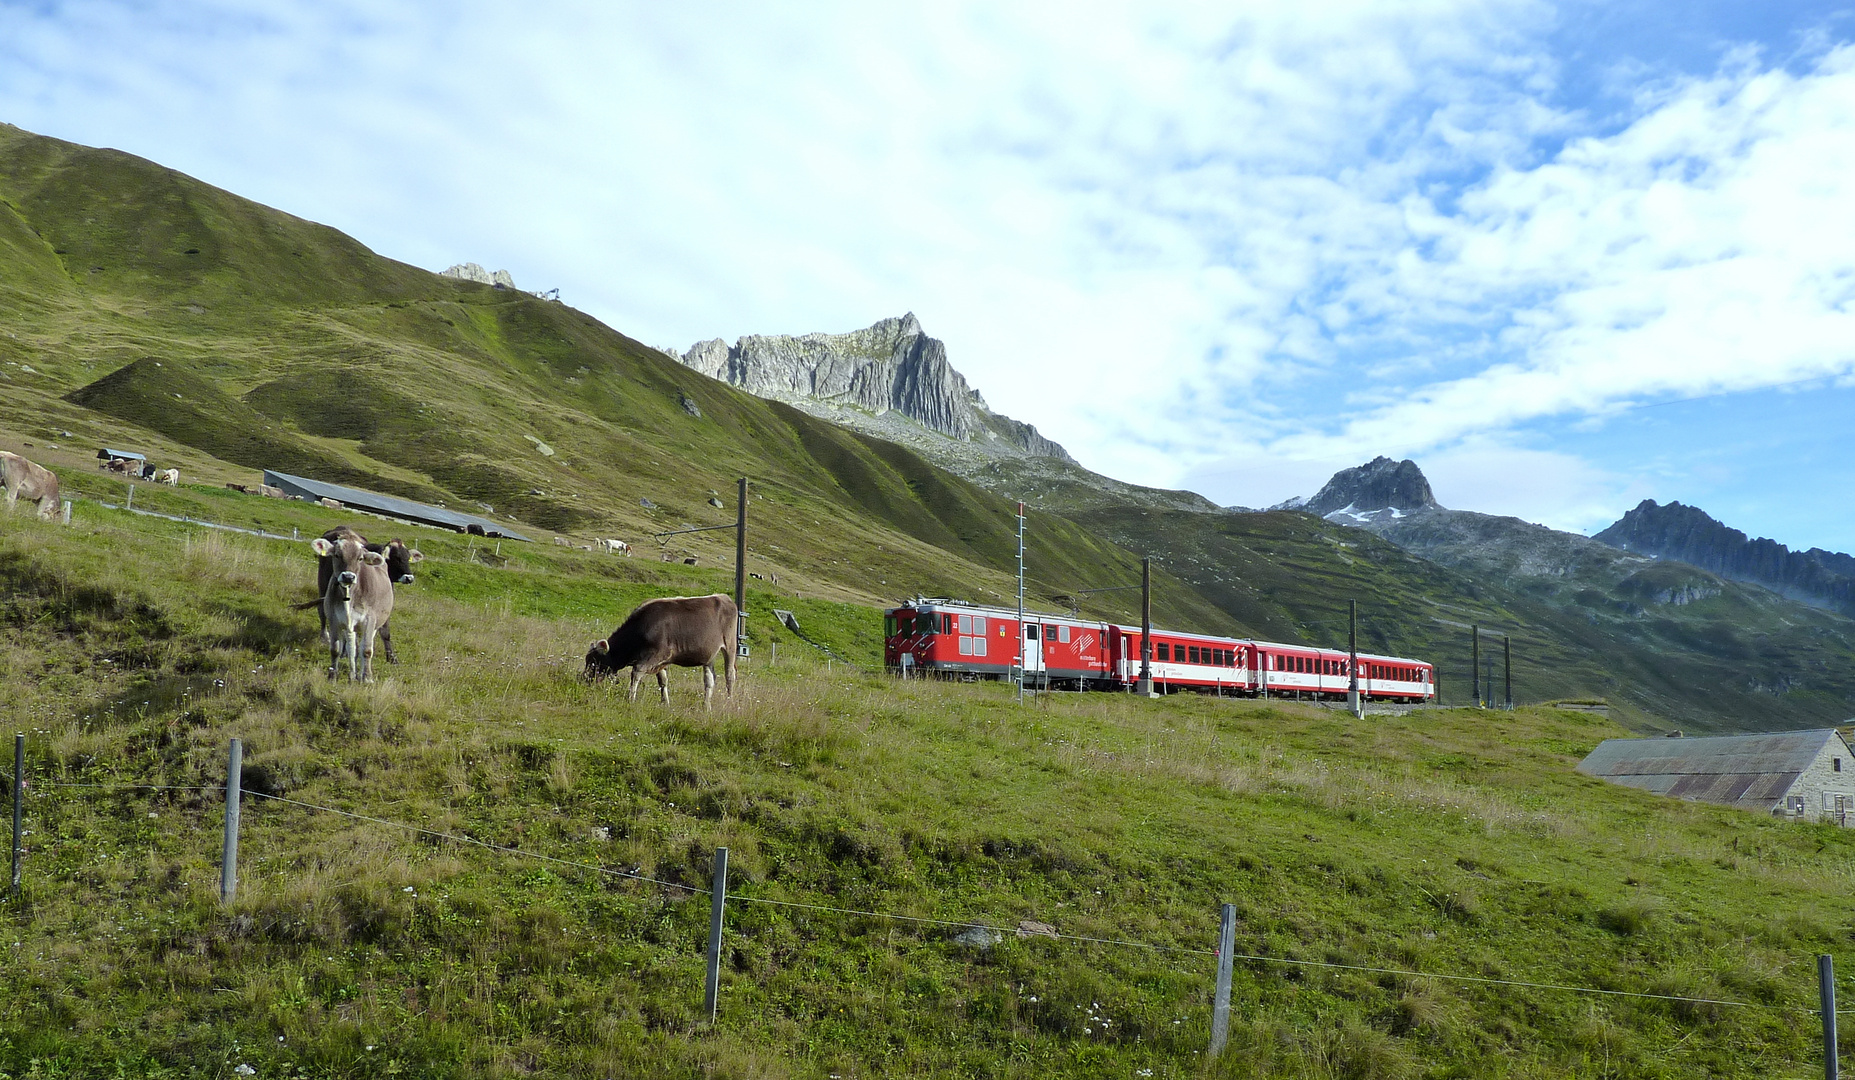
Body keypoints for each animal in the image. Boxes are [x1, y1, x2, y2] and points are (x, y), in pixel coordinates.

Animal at [307, 534, 395, 686]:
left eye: (360, 558)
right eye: (337, 555)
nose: (348, 576)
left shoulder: (369, 620)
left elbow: (367, 650)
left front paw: (367, 678)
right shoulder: (334, 620)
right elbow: (336, 649)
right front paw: (332, 676)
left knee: (364, 645)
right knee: (352, 647)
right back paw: (353, 675)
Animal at [589, 593, 742, 712]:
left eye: (594, 663)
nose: (585, 679)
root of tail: (722, 596)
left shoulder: (657, 655)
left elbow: (636, 672)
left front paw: (631, 698)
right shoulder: (660, 662)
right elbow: (662, 681)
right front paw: (665, 702)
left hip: (730, 646)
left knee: (729, 675)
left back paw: (729, 701)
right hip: (709, 655)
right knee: (710, 679)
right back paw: (706, 706)